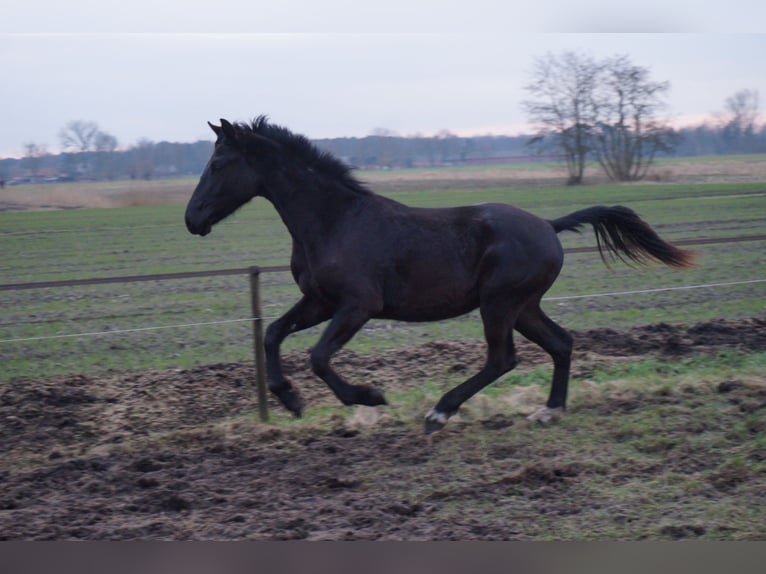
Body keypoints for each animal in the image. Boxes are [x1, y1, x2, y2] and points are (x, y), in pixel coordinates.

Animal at [186, 117, 696, 432]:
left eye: (218, 163)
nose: (192, 220)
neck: (335, 221)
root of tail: (548, 226)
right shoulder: (320, 302)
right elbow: (273, 333)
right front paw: (290, 400)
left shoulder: (357, 306)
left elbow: (318, 357)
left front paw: (370, 396)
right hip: (524, 307)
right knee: (561, 344)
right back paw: (549, 411)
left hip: (500, 304)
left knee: (502, 359)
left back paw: (440, 412)